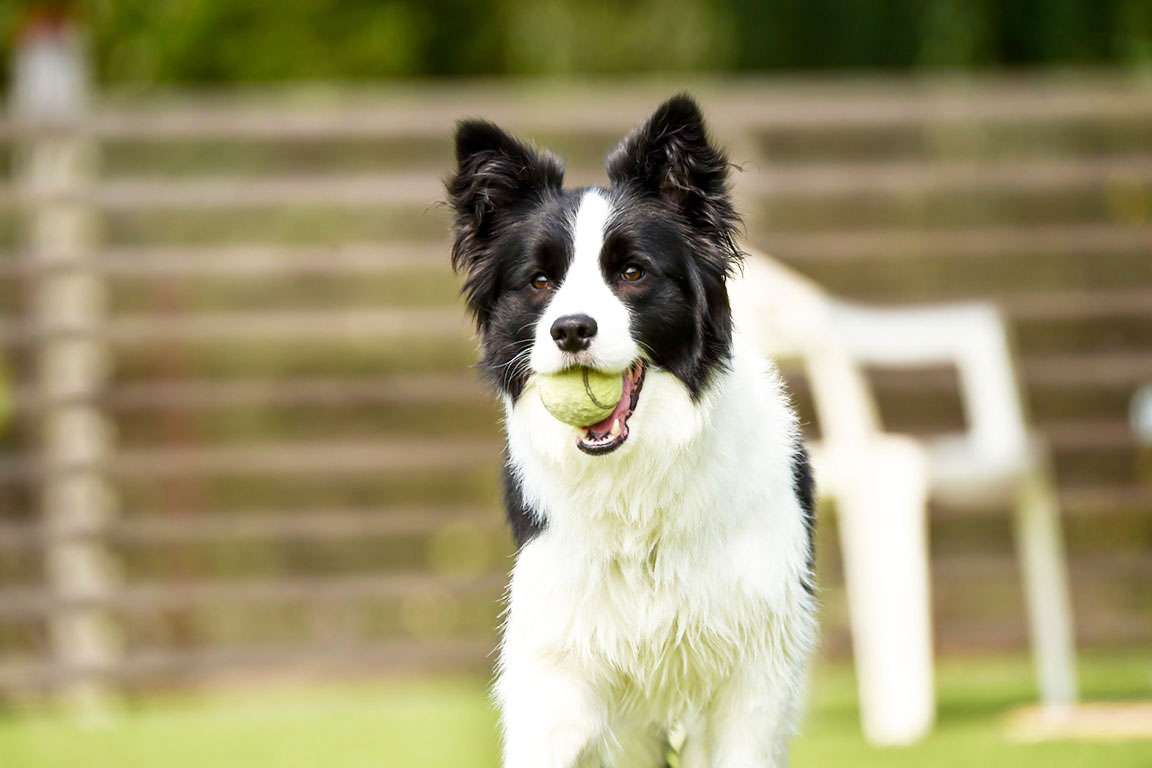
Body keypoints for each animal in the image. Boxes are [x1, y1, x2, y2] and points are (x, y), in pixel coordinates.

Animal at [444, 93, 815, 764]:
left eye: (633, 273)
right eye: (540, 282)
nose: (570, 329)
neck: (637, 484)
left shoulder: (752, 676)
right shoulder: (558, 666)